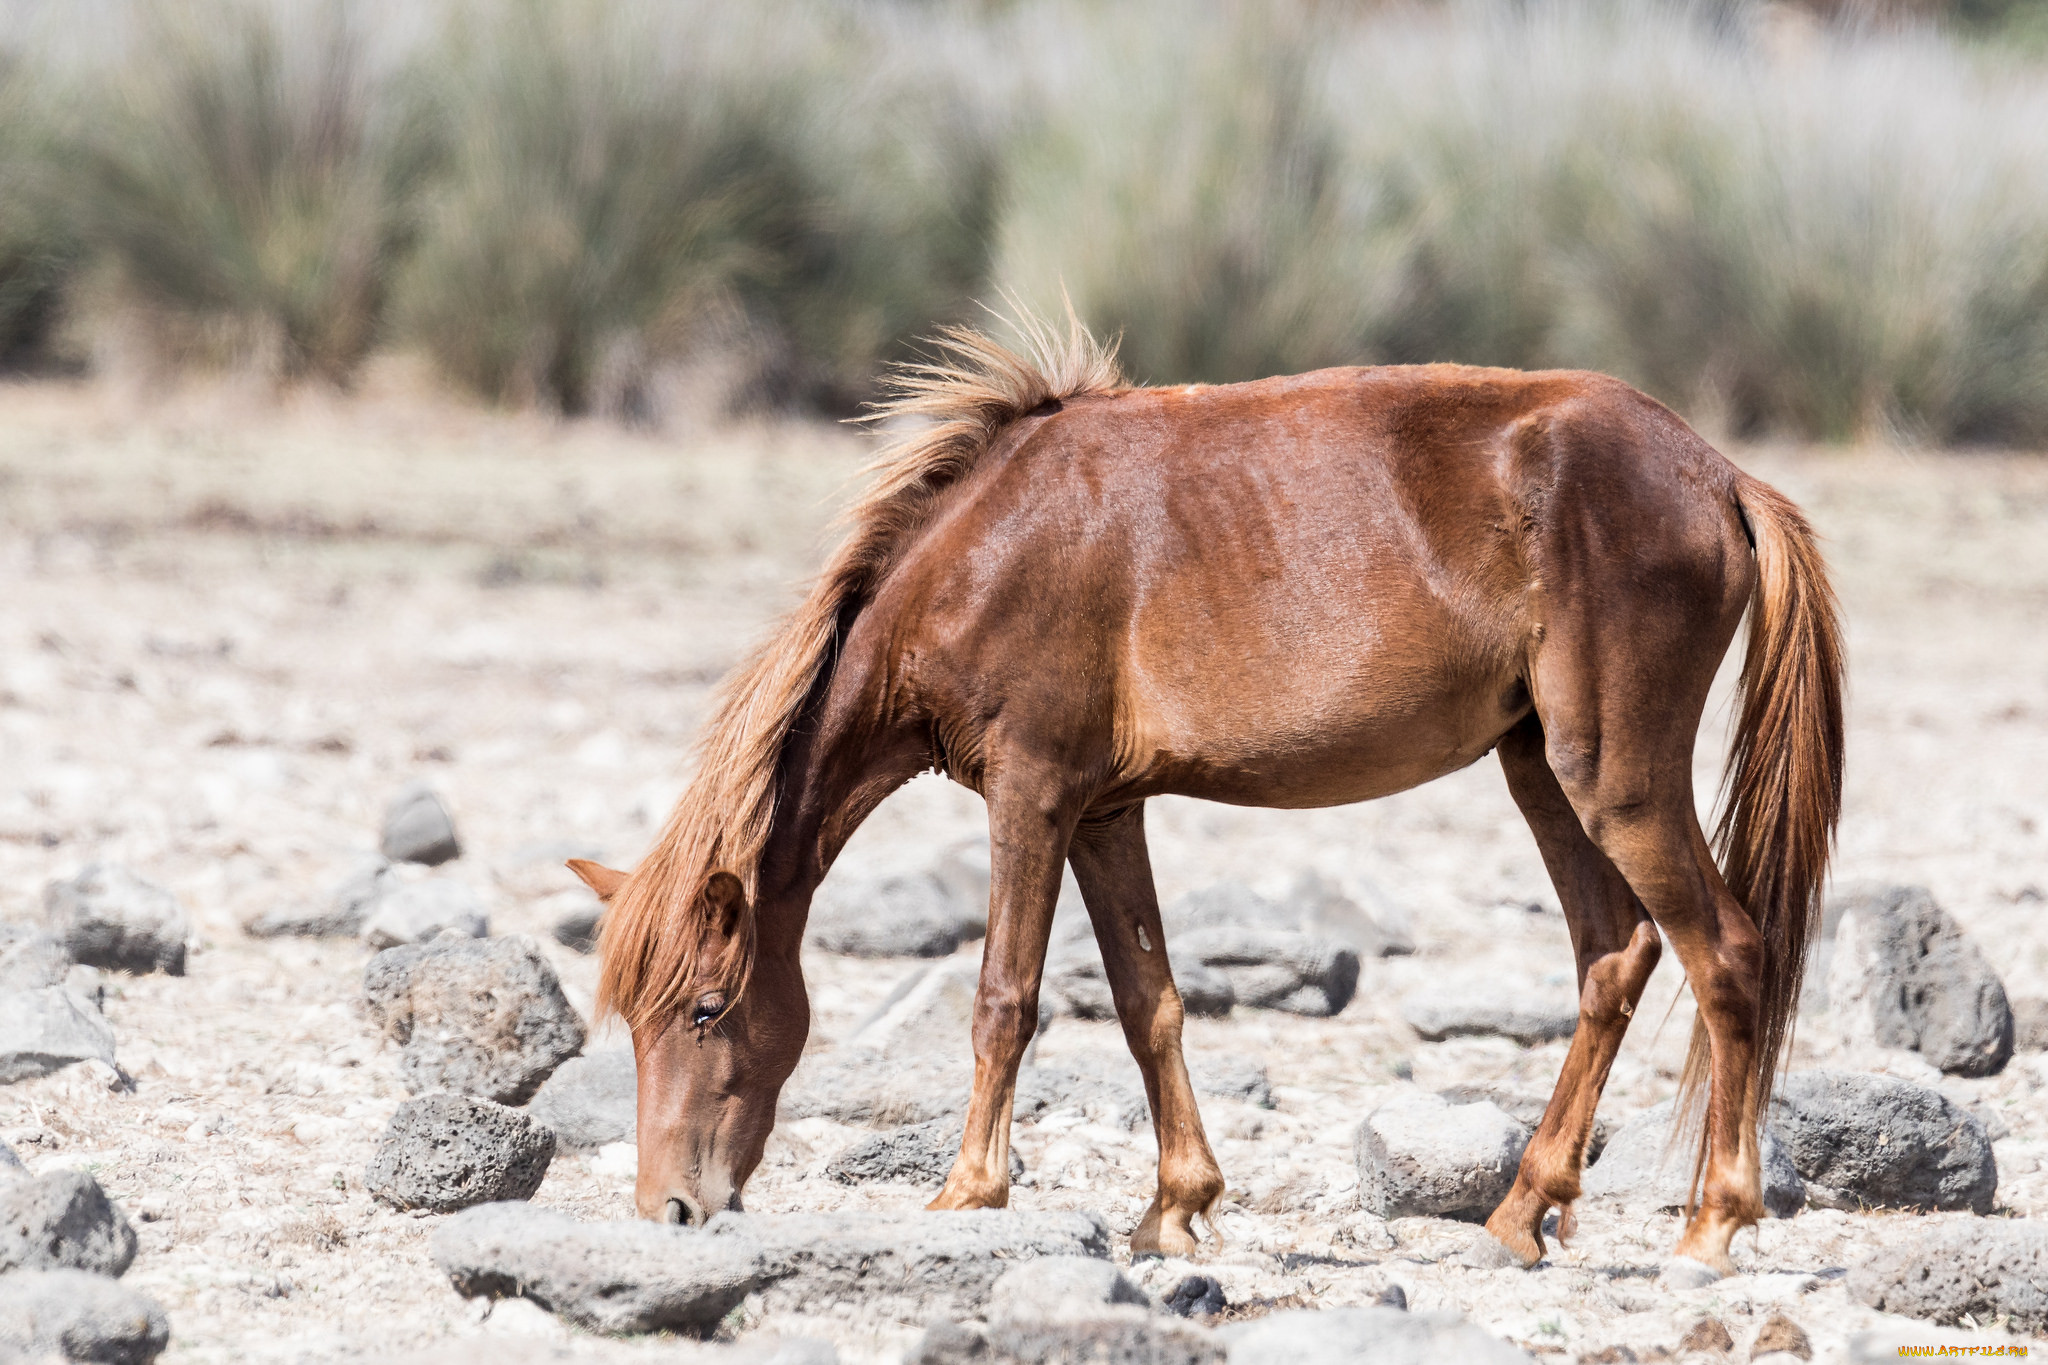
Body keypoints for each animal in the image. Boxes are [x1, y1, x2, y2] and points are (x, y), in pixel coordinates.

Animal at [573, 306, 1843, 1285]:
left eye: (703, 1009)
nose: (669, 1209)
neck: (980, 550)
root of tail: (1716, 475)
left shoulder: (1031, 794)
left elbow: (1003, 998)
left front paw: (968, 1192)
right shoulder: (1101, 812)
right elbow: (1150, 1005)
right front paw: (1173, 1208)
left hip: (1612, 779)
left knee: (1726, 954)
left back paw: (1712, 1223)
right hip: (1537, 769)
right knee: (1611, 957)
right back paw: (1520, 1212)